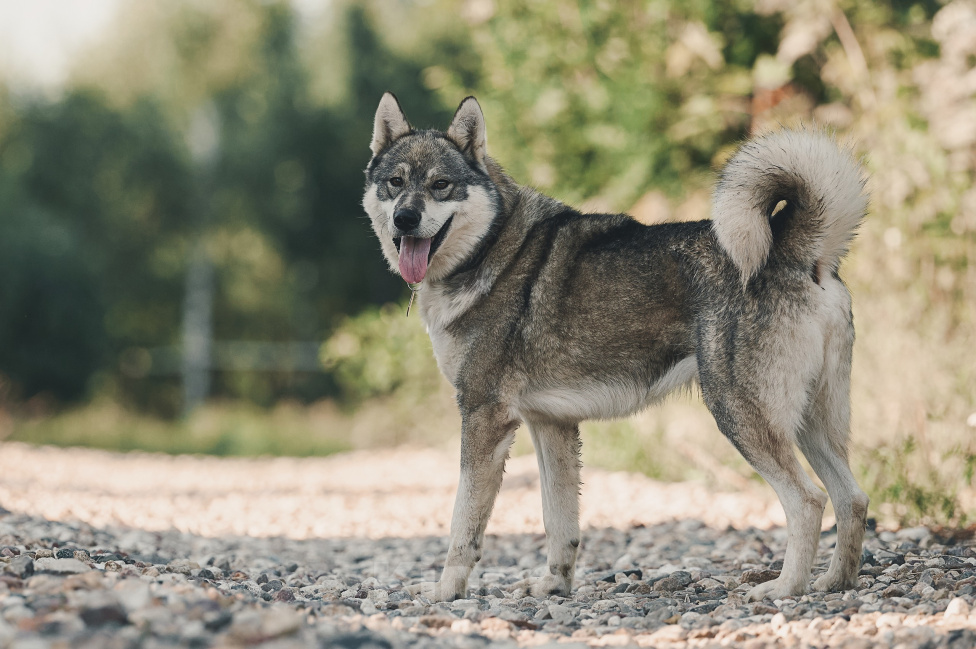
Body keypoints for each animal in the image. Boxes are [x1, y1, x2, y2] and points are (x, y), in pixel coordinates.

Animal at [362, 92, 869, 603]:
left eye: (441, 185)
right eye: (395, 183)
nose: (406, 218)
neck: (490, 250)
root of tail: (796, 250)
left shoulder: (485, 417)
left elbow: (462, 523)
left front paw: (444, 591)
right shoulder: (551, 426)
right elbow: (559, 521)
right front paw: (554, 584)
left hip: (741, 415)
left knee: (808, 501)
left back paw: (785, 588)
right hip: (811, 425)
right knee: (853, 498)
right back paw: (835, 581)